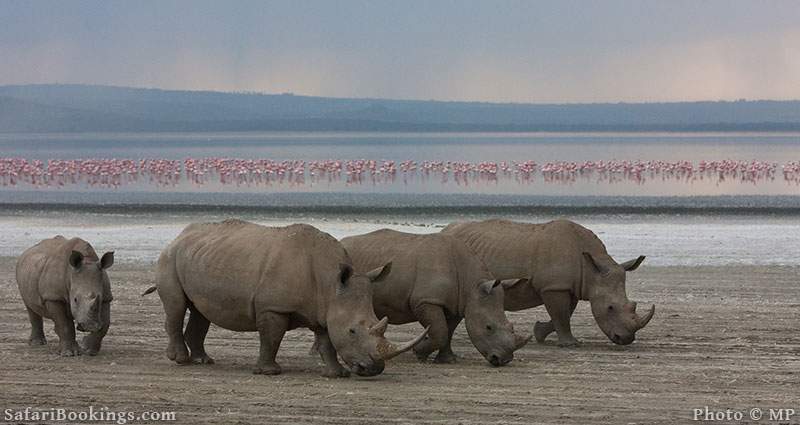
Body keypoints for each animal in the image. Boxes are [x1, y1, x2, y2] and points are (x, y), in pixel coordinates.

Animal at [152, 220, 428, 376]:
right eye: (352, 331)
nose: (373, 370)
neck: (329, 283)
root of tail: (181, 235)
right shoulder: (273, 307)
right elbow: (271, 338)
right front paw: (269, 372)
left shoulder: (325, 308)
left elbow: (326, 341)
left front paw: (335, 374)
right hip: (169, 257)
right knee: (176, 306)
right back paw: (181, 361)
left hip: (200, 255)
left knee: (200, 311)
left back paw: (204, 361)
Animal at [340, 229, 532, 364]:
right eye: (488, 327)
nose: (503, 360)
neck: (472, 285)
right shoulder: (426, 301)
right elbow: (440, 331)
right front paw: (419, 353)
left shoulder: (457, 304)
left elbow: (449, 331)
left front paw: (448, 360)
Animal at [444, 220, 656, 346]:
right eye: (610, 308)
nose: (626, 339)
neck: (591, 269)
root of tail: (446, 229)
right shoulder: (554, 287)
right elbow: (561, 314)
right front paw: (571, 344)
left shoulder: (570, 286)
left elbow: (565, 313)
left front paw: (540, 333)